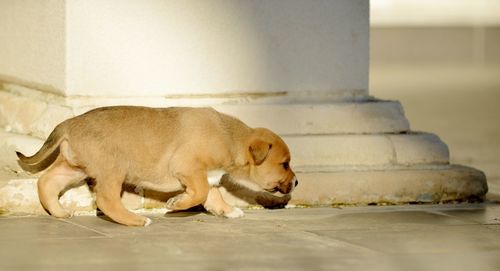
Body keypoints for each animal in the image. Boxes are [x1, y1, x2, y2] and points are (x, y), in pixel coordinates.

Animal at [16, 106, 296, 227]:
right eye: (284, 164)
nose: (296, 182)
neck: (230, 138)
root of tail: (68, 123)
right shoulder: (190, 168)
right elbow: (200, 192)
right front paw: (177, 205)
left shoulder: (208, 175)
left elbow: (212, 196)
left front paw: (228, 211)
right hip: (113, 170)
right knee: (106, 200)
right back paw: (136, 220)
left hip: (76, 168)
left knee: (46, 181)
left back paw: (58, 212)